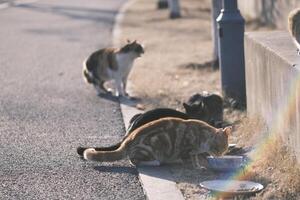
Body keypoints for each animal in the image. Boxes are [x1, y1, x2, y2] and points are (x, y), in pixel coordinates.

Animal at [81, 117, 231, 166]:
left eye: (225, 149)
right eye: (219, 147)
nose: (220, 155)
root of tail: (128, 139)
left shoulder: (193, 152)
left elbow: (195, 159)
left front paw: (199, 166)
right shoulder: (186, 148)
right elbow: (189, 159)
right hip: (150, 147)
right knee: (134, 160)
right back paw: (156, 162)